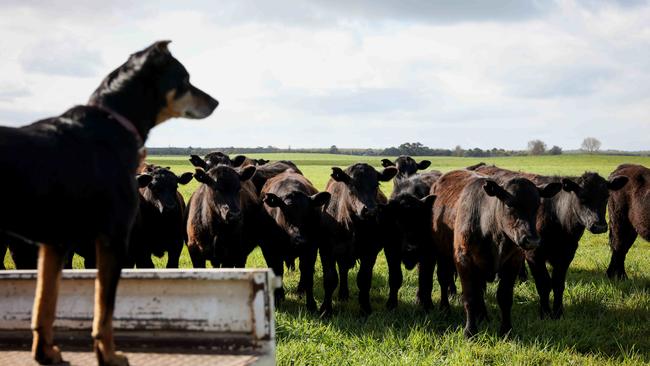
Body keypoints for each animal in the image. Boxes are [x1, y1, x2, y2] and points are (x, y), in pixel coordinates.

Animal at [258, 172, 330, 308]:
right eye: (285, 211)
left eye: (308, 213)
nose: (300, 241)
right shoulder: (269, 250)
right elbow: (277, 271)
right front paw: (278, 299)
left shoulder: (311, 249)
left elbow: (307, 273)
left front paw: (311, 304)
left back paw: (300, 290)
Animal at [318, 163, 394, 314]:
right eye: (352, 184)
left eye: (376, 184)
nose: (370, 210)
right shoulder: (326, 250)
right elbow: (330, 279)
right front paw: (325, 309)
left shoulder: (370, 252)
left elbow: (364, 279)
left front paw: (365, 308)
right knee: (342, 270)